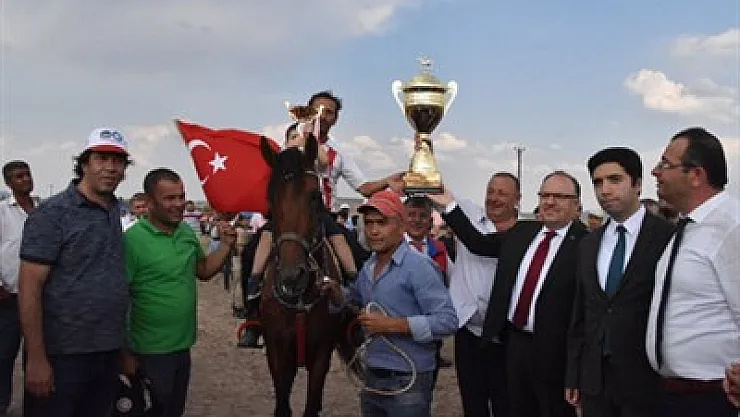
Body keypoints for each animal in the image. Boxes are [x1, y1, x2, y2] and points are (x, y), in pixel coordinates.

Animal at [258, 135, 352, 417]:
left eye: (314, 196)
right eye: (270, 198)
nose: (292, 277)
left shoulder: (322, 354)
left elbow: (310, 404)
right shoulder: (277, 353)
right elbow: (282, 405)